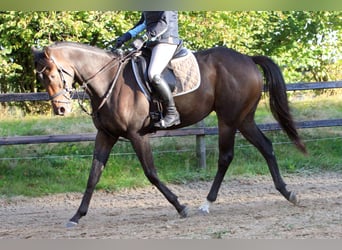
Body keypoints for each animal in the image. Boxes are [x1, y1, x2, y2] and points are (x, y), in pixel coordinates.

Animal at [31, 41, 304, 227]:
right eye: (41, 78)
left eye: (53, 74)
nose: (61, 109)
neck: (109, 81)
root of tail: (247, 59)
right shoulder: (106, 135)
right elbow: (93, 176)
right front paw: (76, 216)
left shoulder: (137, 135)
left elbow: (151, 173)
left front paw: (180, 206)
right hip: (243, 119)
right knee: (265, 146)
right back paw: (287, 192)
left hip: (228, 119)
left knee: (226, 156)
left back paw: (207, 203)